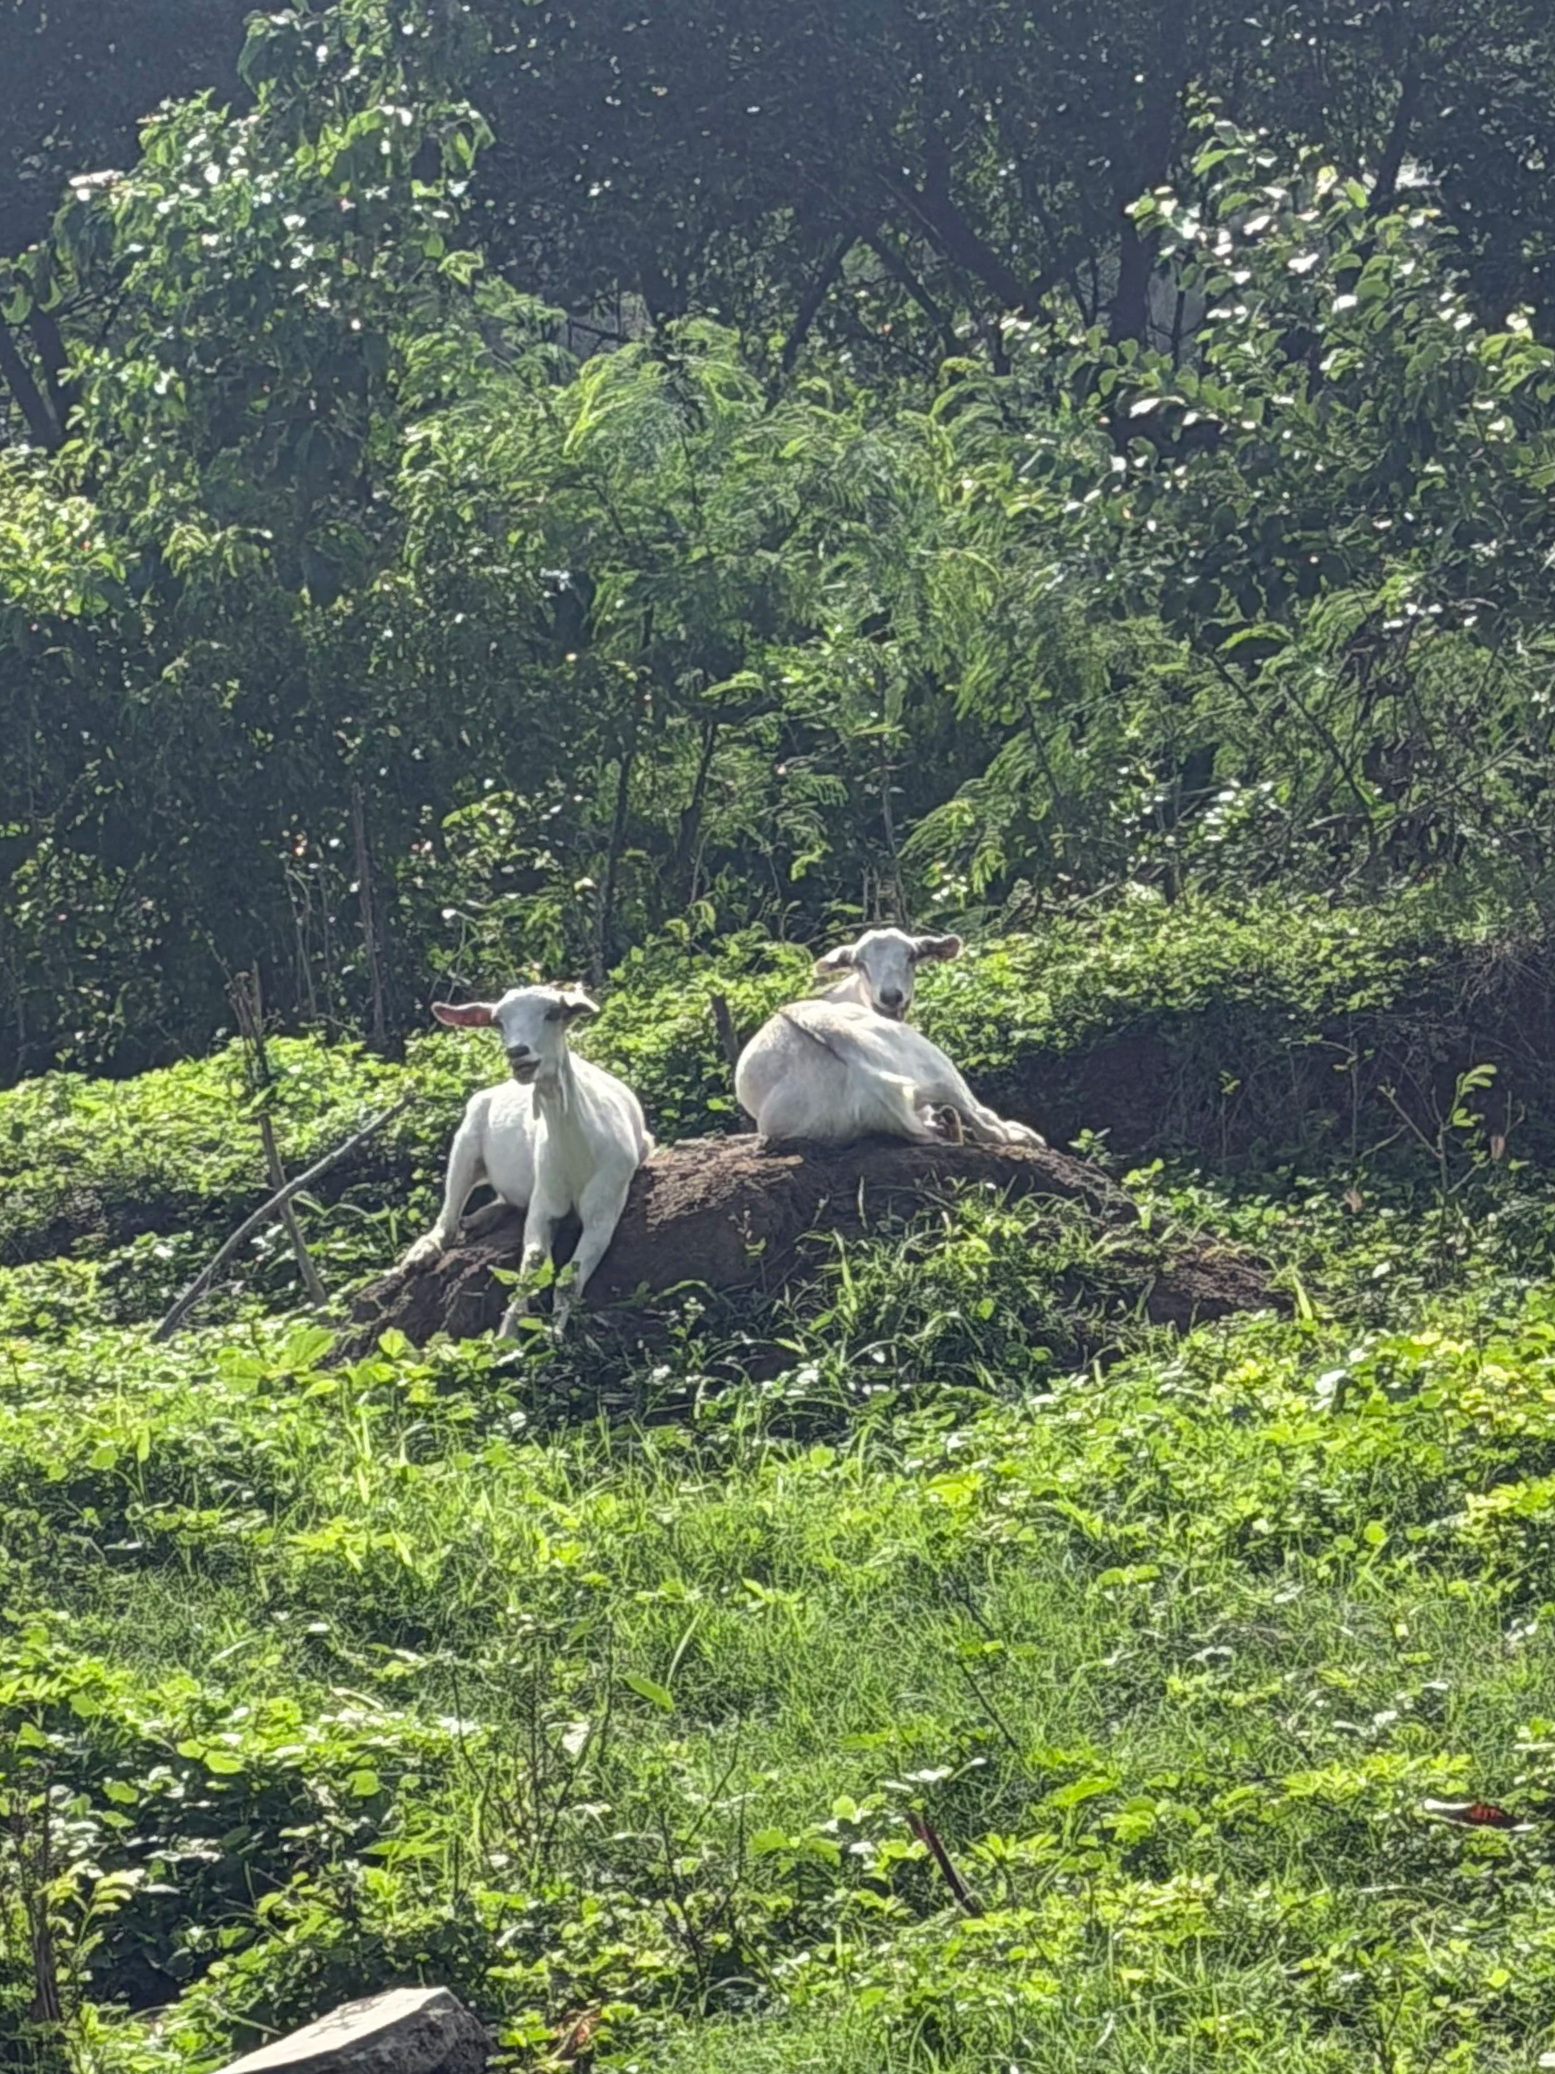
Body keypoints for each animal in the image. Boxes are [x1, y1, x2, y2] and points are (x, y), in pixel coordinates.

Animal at [399, 985, 653, 1333]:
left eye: (553, 1013)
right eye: (498, 1022)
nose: (518, 1053)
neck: (576, 1153)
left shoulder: (606, 1203)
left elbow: (569, 1278)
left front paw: (555, 1331)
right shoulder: (544, 1199)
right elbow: (533, 1264)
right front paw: (508, 1334)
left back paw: (478, 1219)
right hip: (467, 1137)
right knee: (449, 1214)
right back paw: (423, 1251)